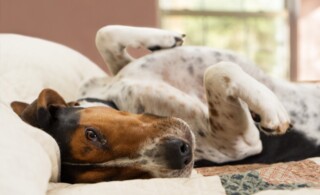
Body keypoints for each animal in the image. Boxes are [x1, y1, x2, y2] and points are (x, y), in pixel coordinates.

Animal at [79, 25, 318, 166]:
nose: (180, 150)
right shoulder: (239, 142)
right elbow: (217, 71)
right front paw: (269, 106)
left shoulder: (122, 66)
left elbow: (104, 34)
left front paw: (165, 38)